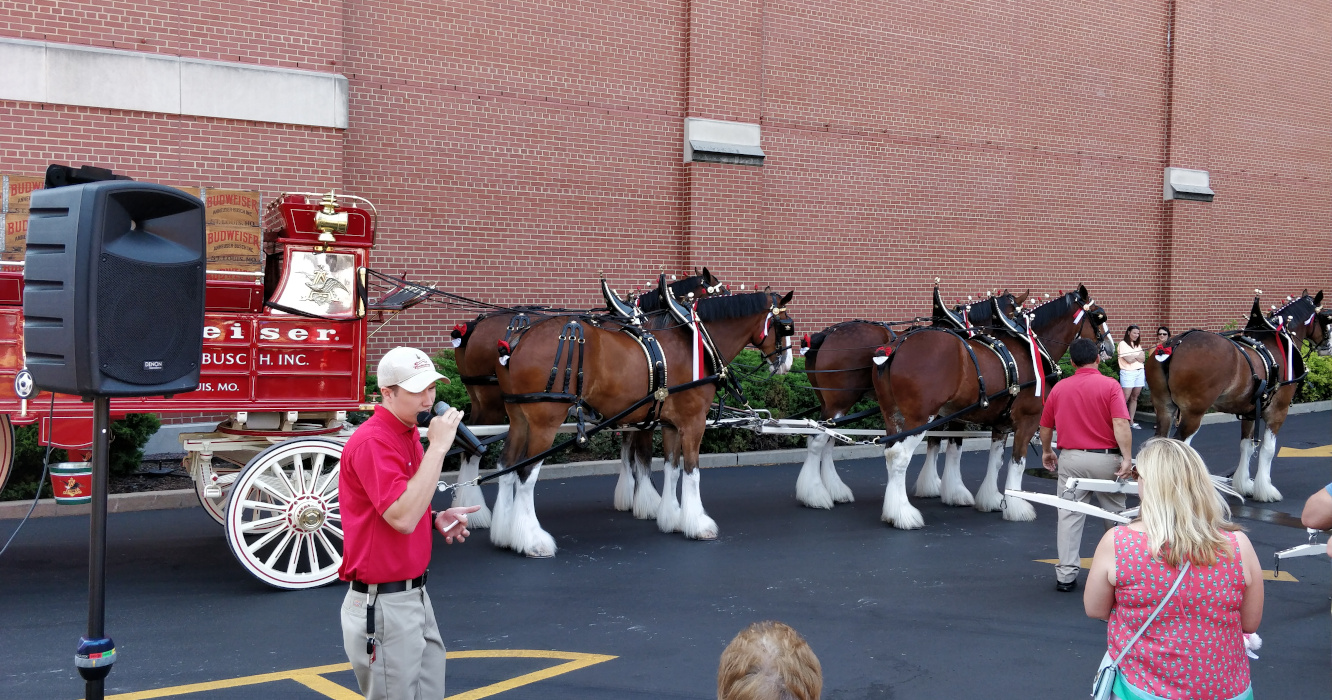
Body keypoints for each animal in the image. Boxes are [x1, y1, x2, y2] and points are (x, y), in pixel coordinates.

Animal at [450, 271, 724, 529]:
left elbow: (631, 451)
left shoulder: (636, 411)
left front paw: (634, 498)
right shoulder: (648, 411)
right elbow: (643, 454)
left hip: (490, 402)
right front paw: (648, 502)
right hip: (497, 405)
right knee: (480, 453)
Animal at [495, 288, 793, 556]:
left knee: (507, 466)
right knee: (525, 474)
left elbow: (672, 468)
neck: (695, 341)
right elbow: (692, 472)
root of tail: (517, 341)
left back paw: (506, 535)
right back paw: (532, 540)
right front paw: (698, 524)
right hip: (544, 423)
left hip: (519, 419)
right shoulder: (693, 422)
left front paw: (672, 518)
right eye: (786, 326)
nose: (787, 363)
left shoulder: (671, 424)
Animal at [793, 290, 1022, 511]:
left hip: (830, 403)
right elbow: (946, 444)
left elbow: (934, 442)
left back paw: (833, 490)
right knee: (819, 439)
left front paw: (930, 486)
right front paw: (944, 488)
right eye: (1013, 314)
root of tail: (826, 334)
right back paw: (816, 495)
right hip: (839, 403)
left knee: (827, 436)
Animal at [868, 283, 1108, 526]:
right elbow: (1017, 462)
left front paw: (990, 499)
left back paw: (892, 511)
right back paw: (903, 514)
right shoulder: (1027, 420)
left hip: (893, 415)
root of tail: (895, 347)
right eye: (1099, 316)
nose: (1108, 346)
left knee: (890, 453)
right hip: (920, 418)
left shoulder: (999, 423)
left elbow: (995, 460)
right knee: (899, 456)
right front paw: (1016, 507)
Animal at [1140, 292, 1326, 505]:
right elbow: (1268, 449)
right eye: (1326, 317)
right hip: (1193, 413)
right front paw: (1266, 490)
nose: (1327, 345)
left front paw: (1244, 484)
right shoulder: (1278, 411)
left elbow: (1246, 446)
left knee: (1159, 441)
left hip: (1163, 407)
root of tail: (1174, 345)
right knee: (1180, 446)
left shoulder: (1250, 412)